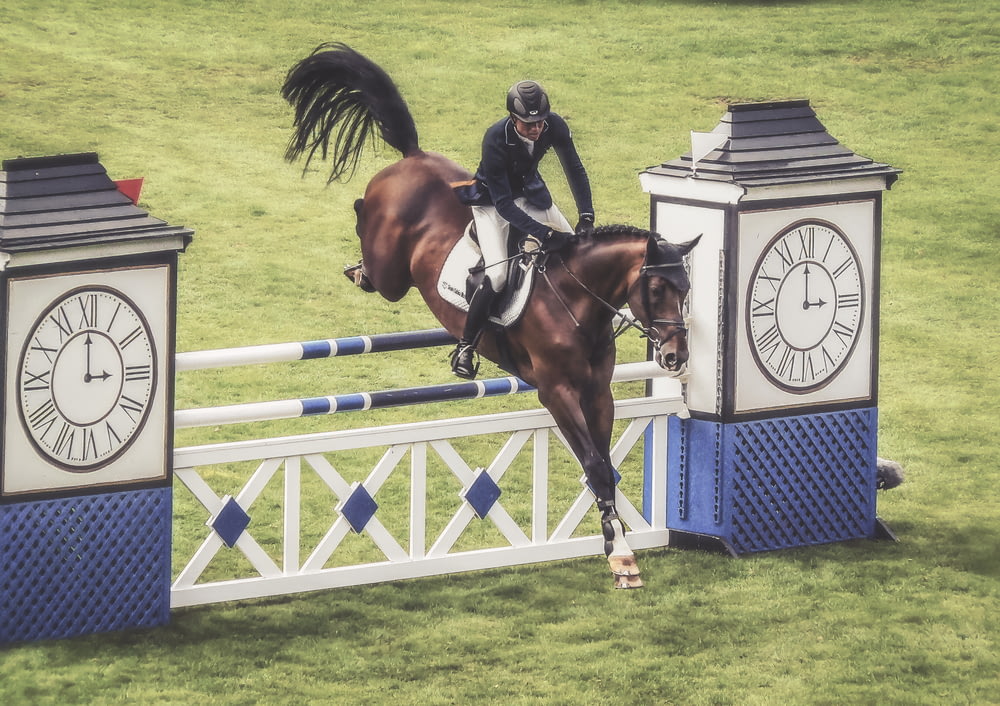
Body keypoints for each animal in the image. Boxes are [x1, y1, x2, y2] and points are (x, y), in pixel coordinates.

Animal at [284, 41, 704, 584]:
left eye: (686, 289)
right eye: (654, 287)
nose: (675, 357)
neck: (576, 303)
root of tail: (413, 157)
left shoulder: (598, 391)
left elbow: (604, 468)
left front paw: (618, 546)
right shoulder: (556, 391)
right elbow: (593, 463)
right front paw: (621, 554)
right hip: (394, 270)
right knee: (372, 249)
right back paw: (358, 266)